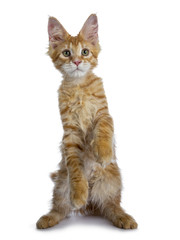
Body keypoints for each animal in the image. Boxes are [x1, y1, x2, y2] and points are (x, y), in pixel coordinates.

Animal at [36, 14, 138, 230]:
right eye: (66, 53)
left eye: (85, 52)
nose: (76, 61)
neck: (78, 85)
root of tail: (91, 204)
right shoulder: (70, 134)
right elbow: (75, 168)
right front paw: (79, 193)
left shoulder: (104, 114)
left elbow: (104, 130)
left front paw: (104, 152)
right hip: (61, 185)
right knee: (61, 208)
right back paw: (48, 218)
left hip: (111, 182)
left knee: (111, 205)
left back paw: (124, 218)